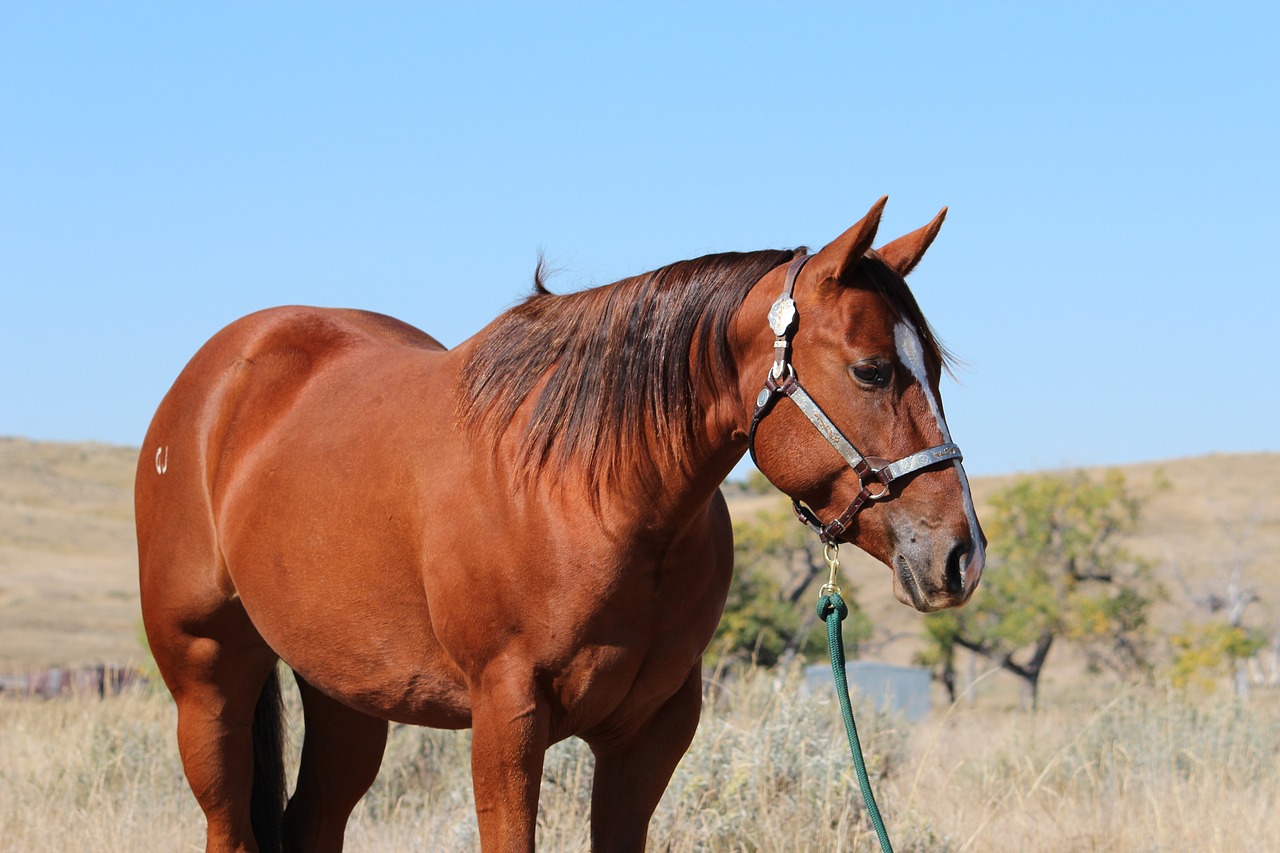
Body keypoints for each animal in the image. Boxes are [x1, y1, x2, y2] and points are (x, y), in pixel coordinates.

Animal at [135, 195, 983, 845]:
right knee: (229, 823)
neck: (590, 496)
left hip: (346, 695)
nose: (960, 555)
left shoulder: (651, 732)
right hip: (208, 677)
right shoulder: (507, 716)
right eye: (871, 370)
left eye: (936, 368)